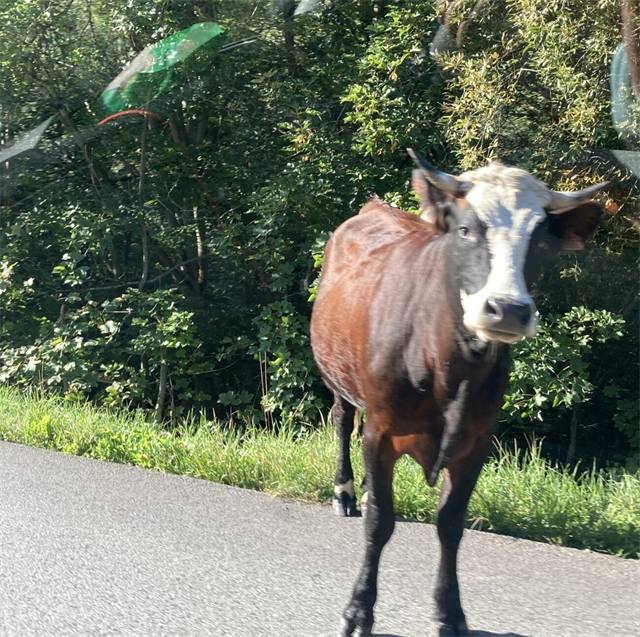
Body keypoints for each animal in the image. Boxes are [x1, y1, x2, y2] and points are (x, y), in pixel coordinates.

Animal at [309, 149, 606, 637]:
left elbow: (450, 526)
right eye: (466, 230)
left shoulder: (475, 442)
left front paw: (451, 615)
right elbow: (379, 525)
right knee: (342, 422)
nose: (508, 309)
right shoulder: (383, 430)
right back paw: (347, 492)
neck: (449, 369)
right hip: (339, 378)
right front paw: (358, 611)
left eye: (540, 242)